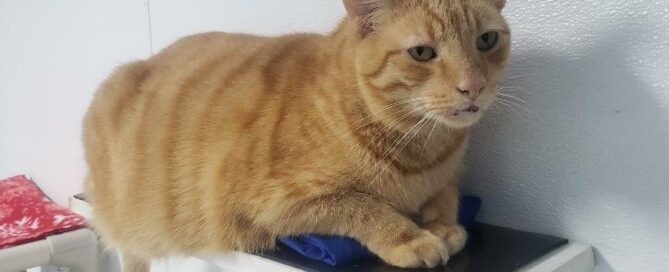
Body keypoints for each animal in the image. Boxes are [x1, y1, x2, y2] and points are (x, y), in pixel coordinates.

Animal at [82, 0, 512, 270]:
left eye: (487, 40)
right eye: (421, 53)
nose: (473, 87)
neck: (421, 151)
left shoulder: (448, 180)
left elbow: (447, 199)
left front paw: (442, 227)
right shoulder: (274, 202)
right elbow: (367, 207)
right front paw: (412, 238)